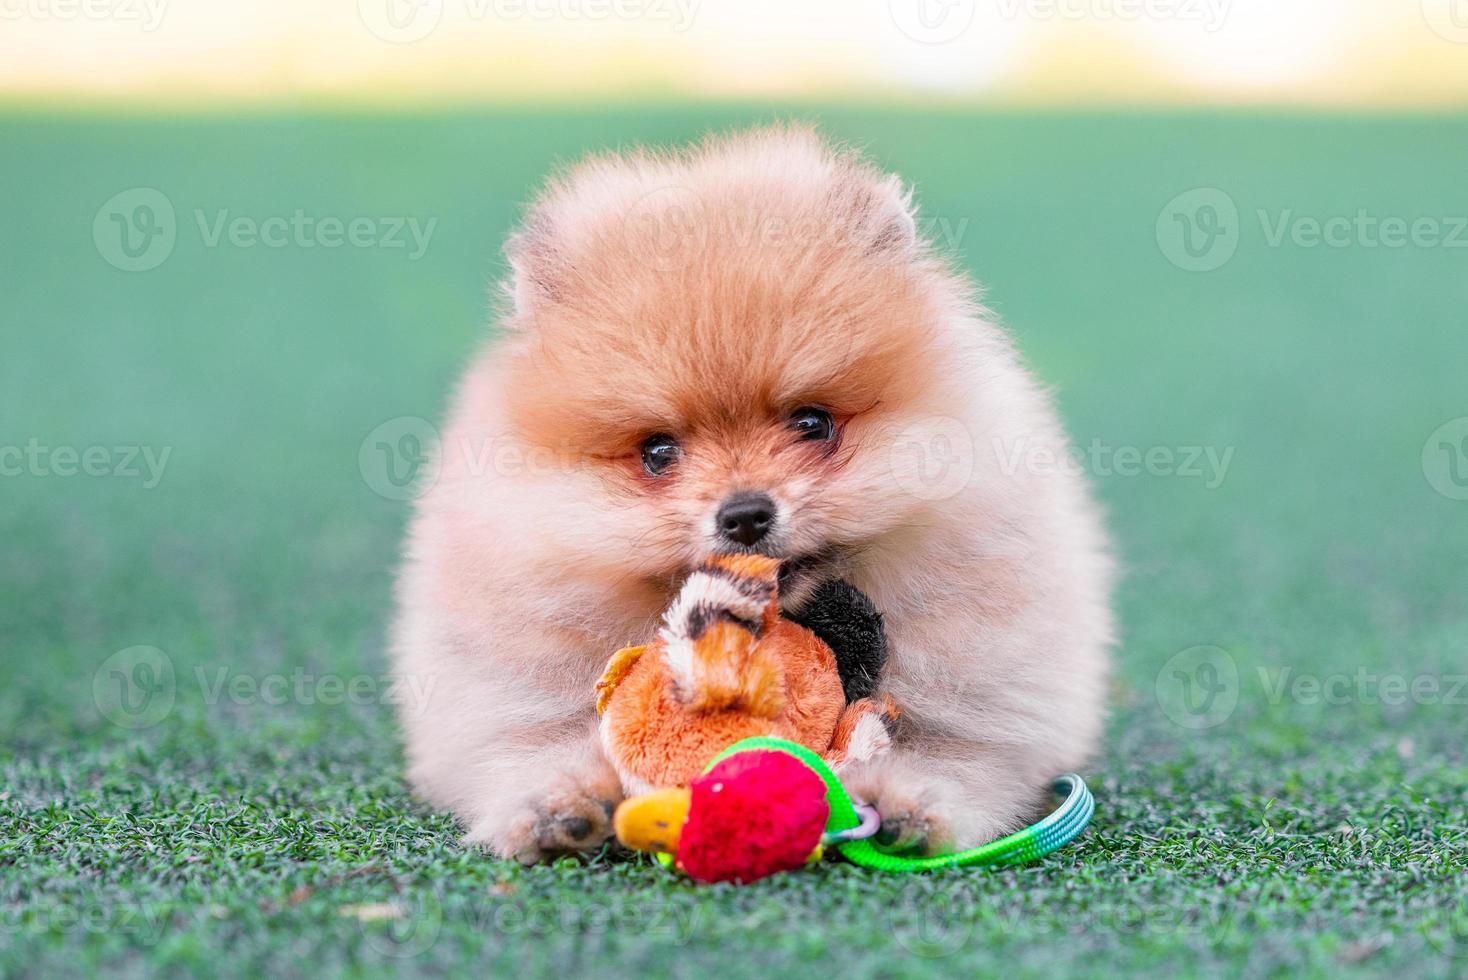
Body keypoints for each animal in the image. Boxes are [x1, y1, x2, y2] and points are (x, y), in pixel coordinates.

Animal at [390, 126, 1109, 862]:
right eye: (657, 452)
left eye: (813, 423)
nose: (743, 513)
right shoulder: (505, 680)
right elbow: (533, 743)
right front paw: (554, 806)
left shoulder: (981, 687)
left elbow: (953, 750)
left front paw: (907, 802)